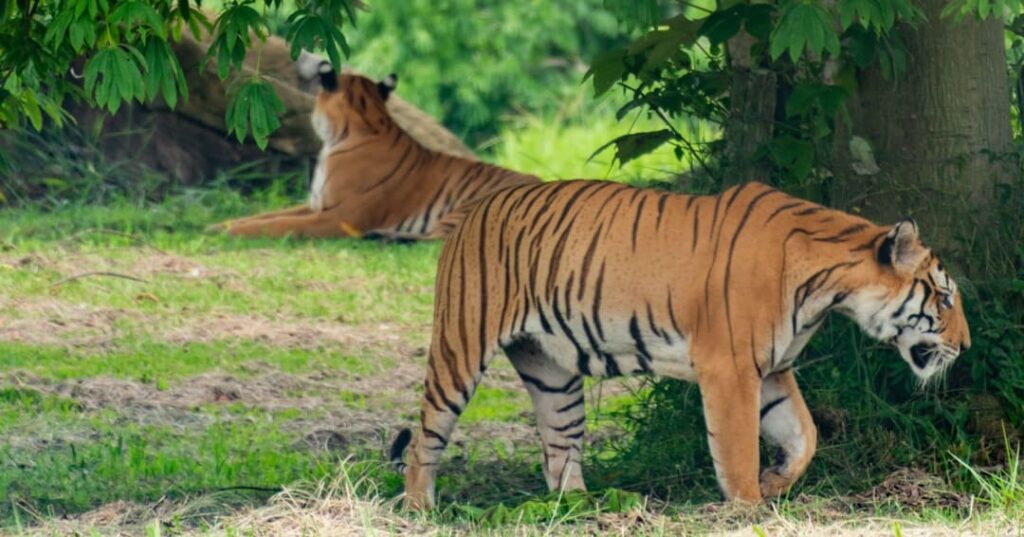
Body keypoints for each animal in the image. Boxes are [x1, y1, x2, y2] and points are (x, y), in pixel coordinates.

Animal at [212, 63, 539, 239]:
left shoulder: (339, 216)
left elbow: (281, 224)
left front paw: (229, 233)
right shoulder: (317, 205)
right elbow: (264, 215)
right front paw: (217, 225)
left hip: (469, 208)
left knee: (435, 239)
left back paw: (384, 237)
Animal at [389, 179, 971, 509]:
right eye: (944, 298)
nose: (965, 347)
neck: (828, 290)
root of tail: (474, 209)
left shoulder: (772, 370)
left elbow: (804, 435)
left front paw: (776, 482)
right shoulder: (730, 369)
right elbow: (736, 447)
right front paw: (748, 506)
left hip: (552, 374)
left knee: (558, 451)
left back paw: (580, 509)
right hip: (460, 346)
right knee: (426, 438)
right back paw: (420, 509)